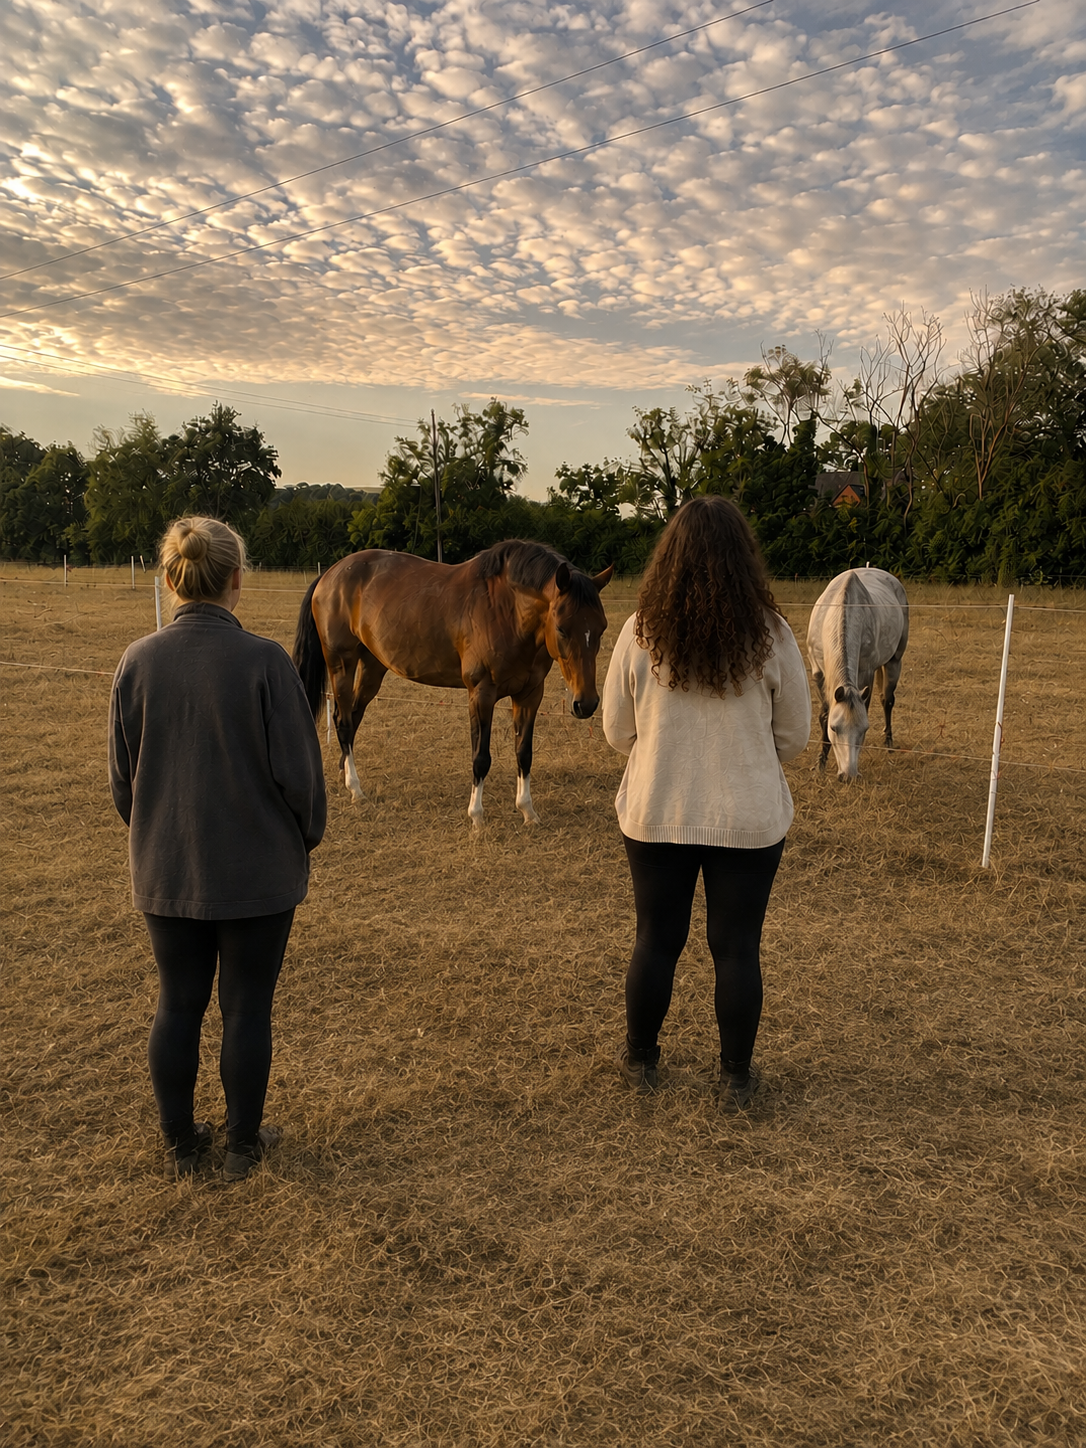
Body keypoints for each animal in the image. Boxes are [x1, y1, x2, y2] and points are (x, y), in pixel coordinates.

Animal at [293, 540, 613, 825]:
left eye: (602, 628)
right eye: (561, 628)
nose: (586, 703)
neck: (506, 611)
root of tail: (330, 575)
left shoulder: (529, 694)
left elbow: (524, 753)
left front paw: (528, 812)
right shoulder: (481, 694)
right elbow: (480, 757)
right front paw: (477, 816)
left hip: (372, 666)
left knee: (353, 716)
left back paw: (345, 775)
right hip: (341, 664)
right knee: (343, 721)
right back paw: (356, 789)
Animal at [806, 567, 909, 781]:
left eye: (864, 729)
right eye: (834, 728)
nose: (848, 775)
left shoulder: (865, 673)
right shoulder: (818, 674)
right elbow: (824, 715)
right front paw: (820, 764)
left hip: (894, 661)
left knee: (887, 700)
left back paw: (888, 742)